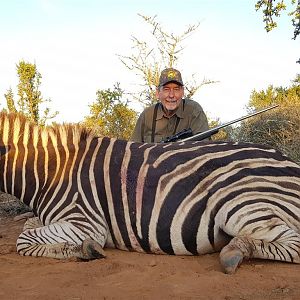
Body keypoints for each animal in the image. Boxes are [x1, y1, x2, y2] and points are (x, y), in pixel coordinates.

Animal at [0, 110, 300, 274]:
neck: (48, 173)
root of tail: (287, 159)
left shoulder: (85, 222)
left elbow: (23, 240)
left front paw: (84, 250)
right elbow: (28, 225)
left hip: (238, 204)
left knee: (293, 244)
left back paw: (234, 252)